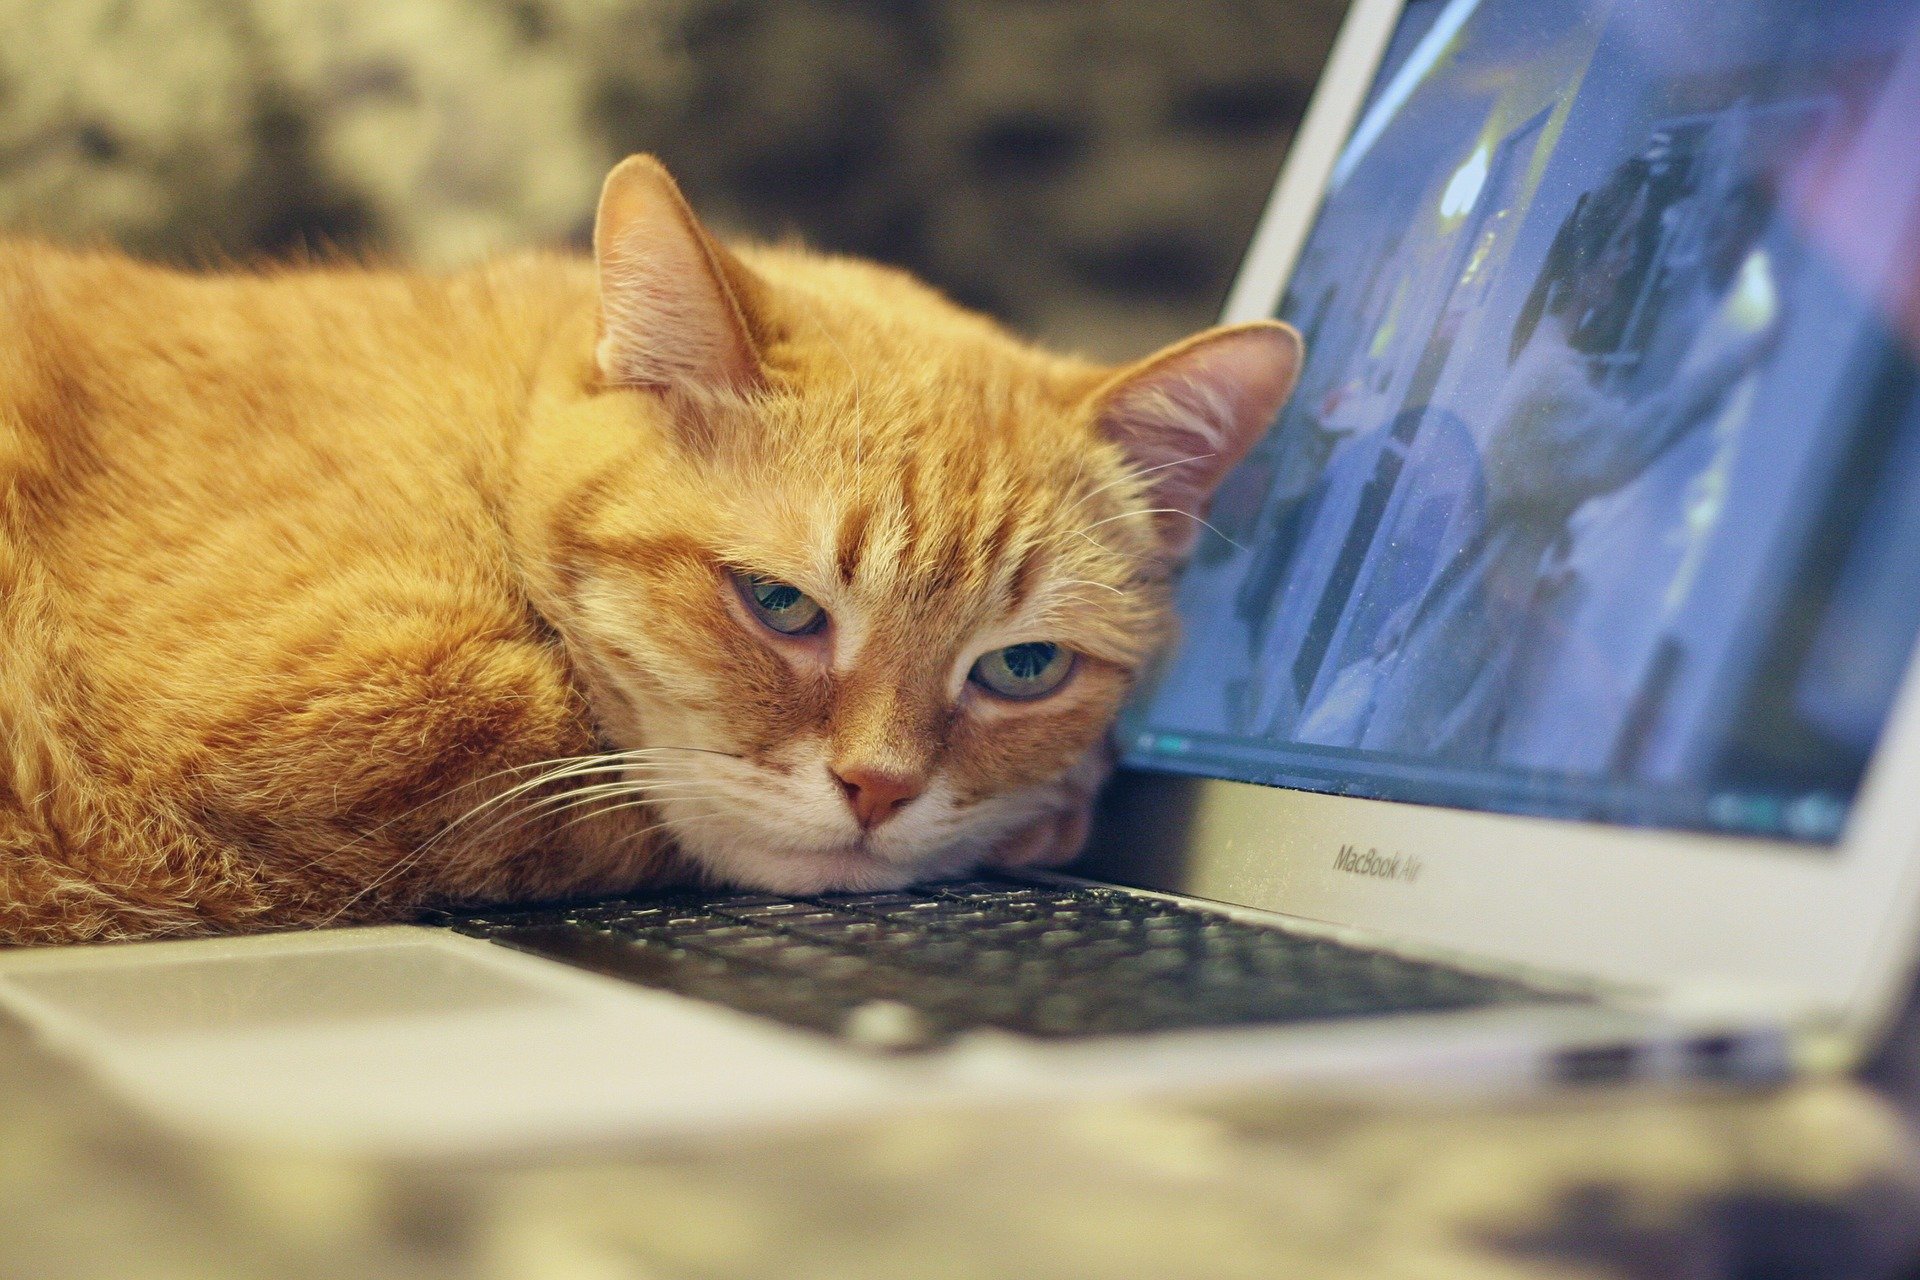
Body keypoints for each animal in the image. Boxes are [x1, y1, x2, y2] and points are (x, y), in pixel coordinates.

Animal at [0, 155, 1305, 948]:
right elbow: (588, 775)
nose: (880, 789)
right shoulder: (345, 699)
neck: (490, 429)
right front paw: (1056, 810)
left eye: (1022, 669)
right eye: (780, 602)